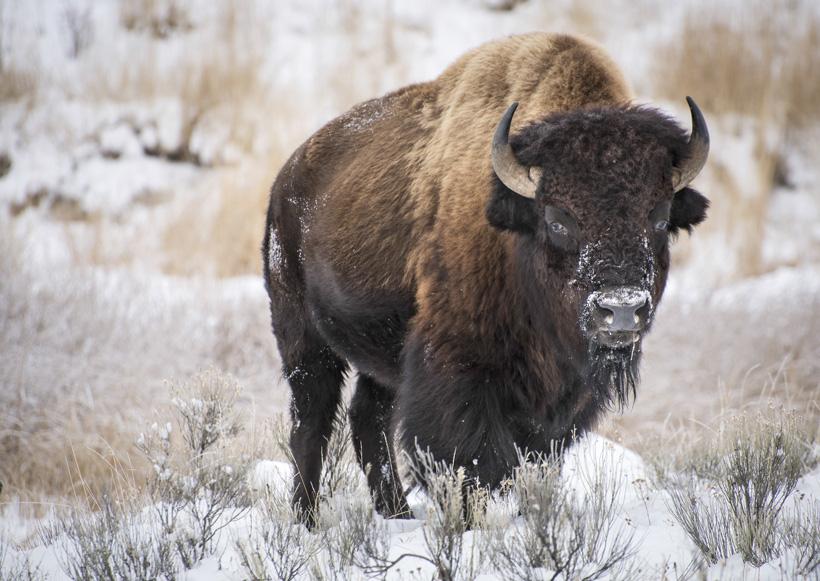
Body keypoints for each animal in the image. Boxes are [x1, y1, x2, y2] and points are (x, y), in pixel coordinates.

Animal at [262, 32, 709, 522]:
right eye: (557, 218)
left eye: (660, 216)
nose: (622, 310)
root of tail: (287, 178)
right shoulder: (459, 371)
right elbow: (473, 461)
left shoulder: (564, 399)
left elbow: (537, 458)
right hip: (303, 339)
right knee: (312, 423)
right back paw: (306, 519)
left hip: (379, 357)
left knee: (367, 419)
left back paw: (397, 513)